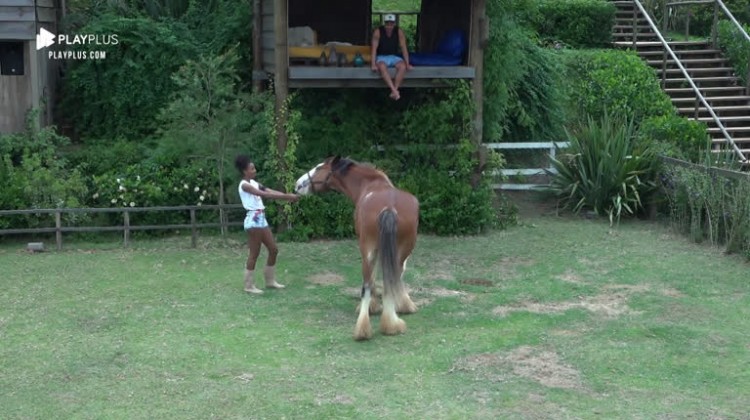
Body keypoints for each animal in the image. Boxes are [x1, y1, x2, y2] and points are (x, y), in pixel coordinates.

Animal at [294, 156, 419, 341]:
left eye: (318, 168)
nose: (298, 185)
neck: (371, 184)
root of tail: (389, 207)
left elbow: (372, 278)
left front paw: (373, 306)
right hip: (401, 251)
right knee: (393, 277)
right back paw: (390, 324)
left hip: (368, 250)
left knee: (369, 283)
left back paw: (366, 328)